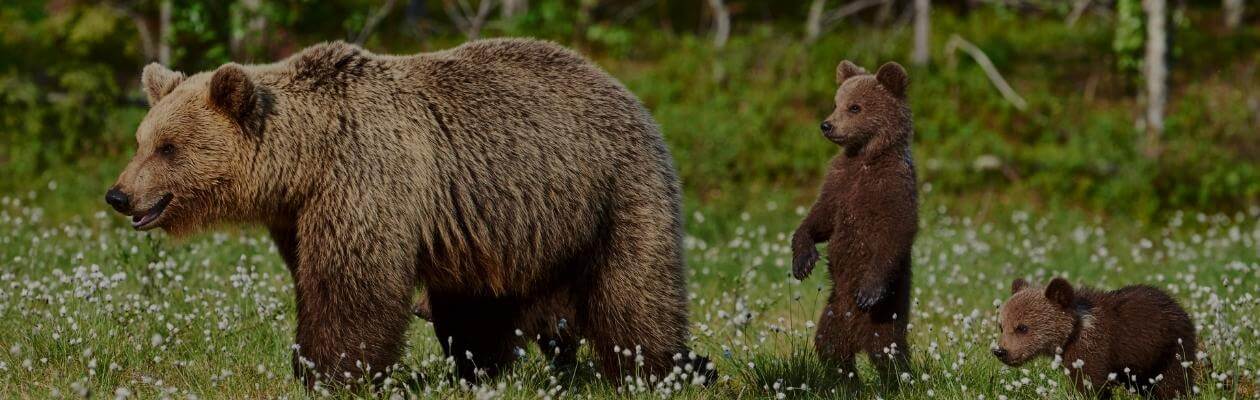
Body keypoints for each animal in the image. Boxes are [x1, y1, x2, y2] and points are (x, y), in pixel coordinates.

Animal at [105, 38, 710, 383]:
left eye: (169, 148)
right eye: (140, 140)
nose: (119, 195)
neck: (305, 162)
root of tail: (625, 91)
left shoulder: (367, 178)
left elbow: (352, 286)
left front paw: (330, 372)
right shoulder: (298, 214)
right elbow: (314, 277)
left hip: (612, 190)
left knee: (634, 292)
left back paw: (667, 368)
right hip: (502, 225)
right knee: (479, 307)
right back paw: (480, 370)